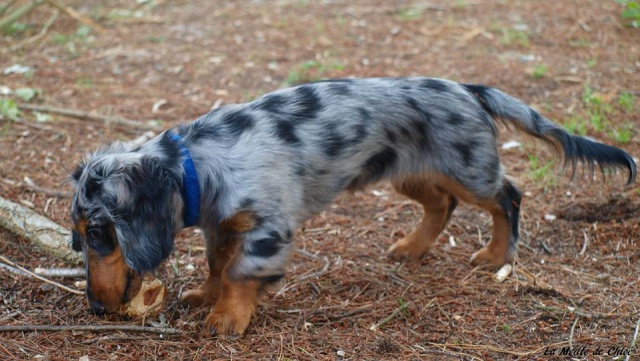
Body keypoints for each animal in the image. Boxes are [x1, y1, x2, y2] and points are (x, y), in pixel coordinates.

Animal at [70, 78, 636, 334]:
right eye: (77, 239)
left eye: (98, 234)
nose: (95, 307)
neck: (201, 161)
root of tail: (468, 88)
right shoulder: (224, 222)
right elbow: (217, 262)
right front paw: (206, 296)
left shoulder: (269, 227)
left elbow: (239, 272)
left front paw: (227, 317)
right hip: (410, 174)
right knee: (442, 205)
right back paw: (411, 247)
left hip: (471, 170)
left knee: (508, 195)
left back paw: (497, 255)